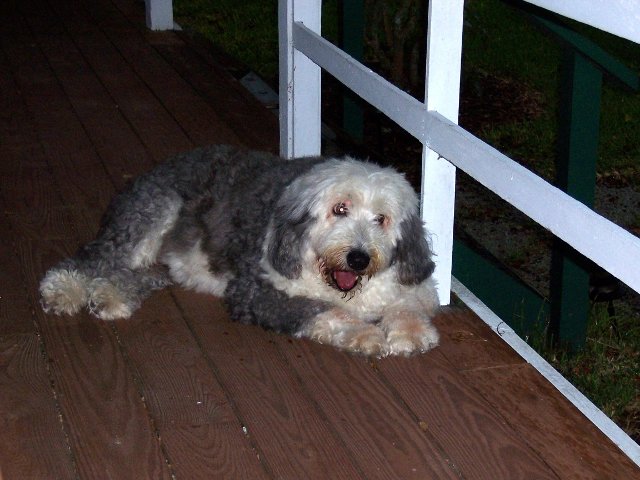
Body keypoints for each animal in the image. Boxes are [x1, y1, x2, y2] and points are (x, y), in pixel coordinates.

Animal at [38, 146, 440, 356]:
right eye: (339, 208)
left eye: (382, 219)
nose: (358, 258)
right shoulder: (254, 292)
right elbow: (321, 309)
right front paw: (365, 335)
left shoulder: (412, 286)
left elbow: (409, 303)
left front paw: (410, 333)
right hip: (150, 215)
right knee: (94, 258)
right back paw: (64, 290)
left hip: (159, 260)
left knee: (132, 274)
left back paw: (109, 297)